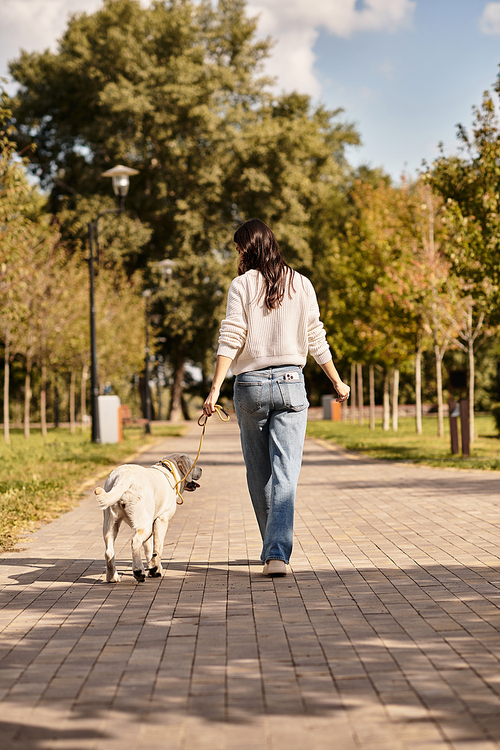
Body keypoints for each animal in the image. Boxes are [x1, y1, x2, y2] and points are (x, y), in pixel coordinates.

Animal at [95, 456, 201, 584]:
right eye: (193, 463)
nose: (201, 469)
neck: (170, 471)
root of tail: (124, 477)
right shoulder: (161, 520)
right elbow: (158, 548)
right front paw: (155, 569)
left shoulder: (152, 522)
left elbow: (149, 549)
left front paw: (153, 567)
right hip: (144, 526)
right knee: (135, 542)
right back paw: (138, 571)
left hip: (111, 523)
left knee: (109, 551)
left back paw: (112, 577)